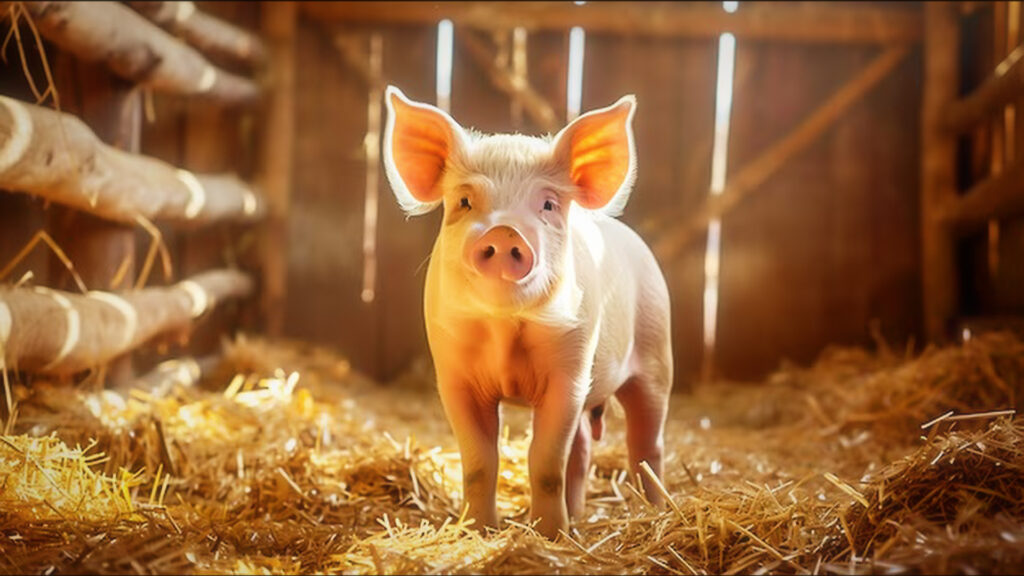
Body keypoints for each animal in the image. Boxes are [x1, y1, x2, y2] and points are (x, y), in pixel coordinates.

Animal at [382, 86, 673, 539]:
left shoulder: (571, 372)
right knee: (584, 448)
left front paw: (549, 535)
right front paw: (477, 531)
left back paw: (654, 512)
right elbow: (479, 463)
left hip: (657, 356)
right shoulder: (453, 375)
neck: (504, 331)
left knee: (646, 445)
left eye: (549, 204)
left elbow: (545, 462)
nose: (504, 231)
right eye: (464, 201)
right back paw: (579, 517)